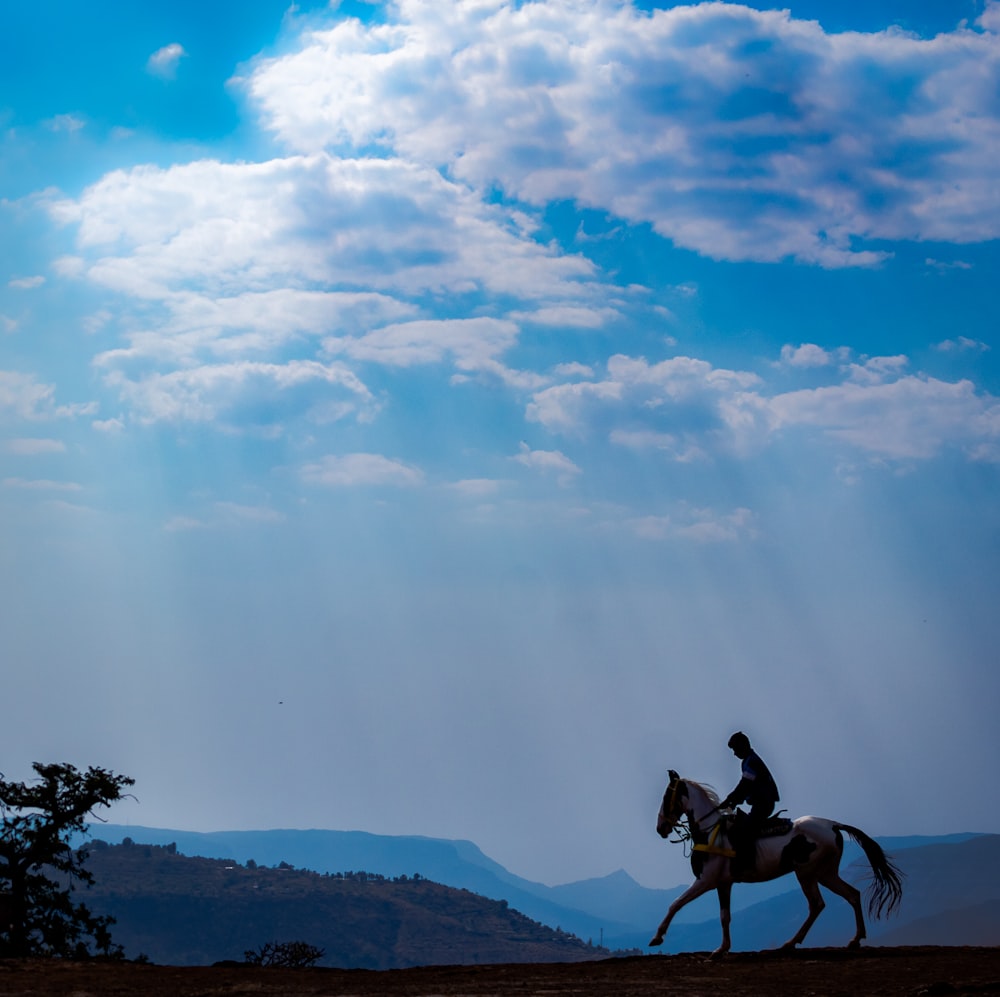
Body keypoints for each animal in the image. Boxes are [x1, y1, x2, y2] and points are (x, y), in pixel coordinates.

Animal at [652, 772, 904, 956]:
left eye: (666, 797)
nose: (660, 828)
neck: (710, 832)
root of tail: (833, 825)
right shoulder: (724, 884)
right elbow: (725, 916)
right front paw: (722, 948)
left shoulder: (706, 881)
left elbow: (676, 903)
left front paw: (657, 937)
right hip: (826, 873)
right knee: (852, 895)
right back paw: (855, 939)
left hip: (806, 874)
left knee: (817, 904)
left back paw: (791, 942)